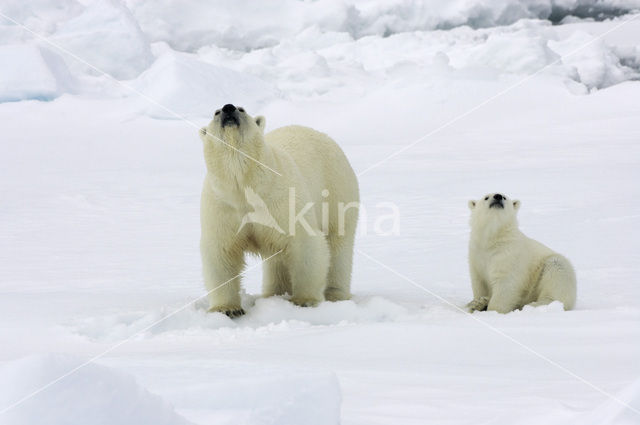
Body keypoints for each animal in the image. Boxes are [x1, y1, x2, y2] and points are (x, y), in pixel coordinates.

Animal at [200, 102, 360, 314]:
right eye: (216, 112)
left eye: (241, 109)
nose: (228, 108)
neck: (245, 185)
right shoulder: (222, 206)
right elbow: (221, 252)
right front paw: (227, 309)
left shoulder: (281, 200)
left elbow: (304, 243)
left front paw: (304, 300)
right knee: (276, 260)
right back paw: (273, 293)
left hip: (336, 189)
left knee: (338, 242)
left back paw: (335, 295)